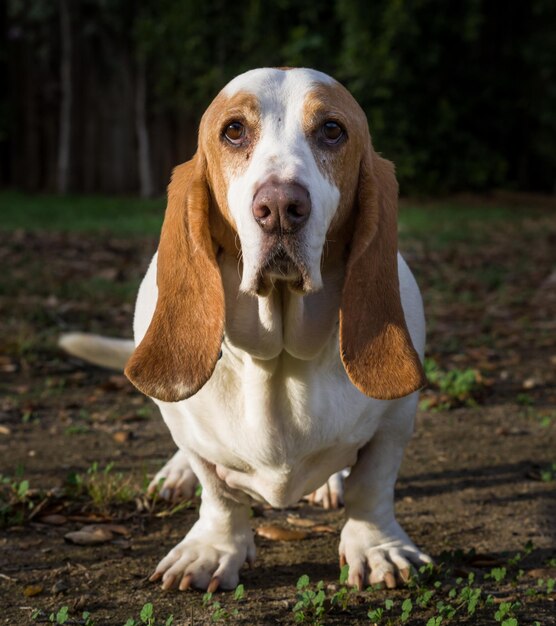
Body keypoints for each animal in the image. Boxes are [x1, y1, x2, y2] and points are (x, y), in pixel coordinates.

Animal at [59, 67, 430, 588]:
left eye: (332, 130)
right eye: (233, 130)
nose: (280, 206)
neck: (281, 353)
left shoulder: (396, 419)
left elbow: (372, 485)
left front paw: (378, 546)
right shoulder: (189, 430)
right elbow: (218, 492)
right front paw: (213, 549)